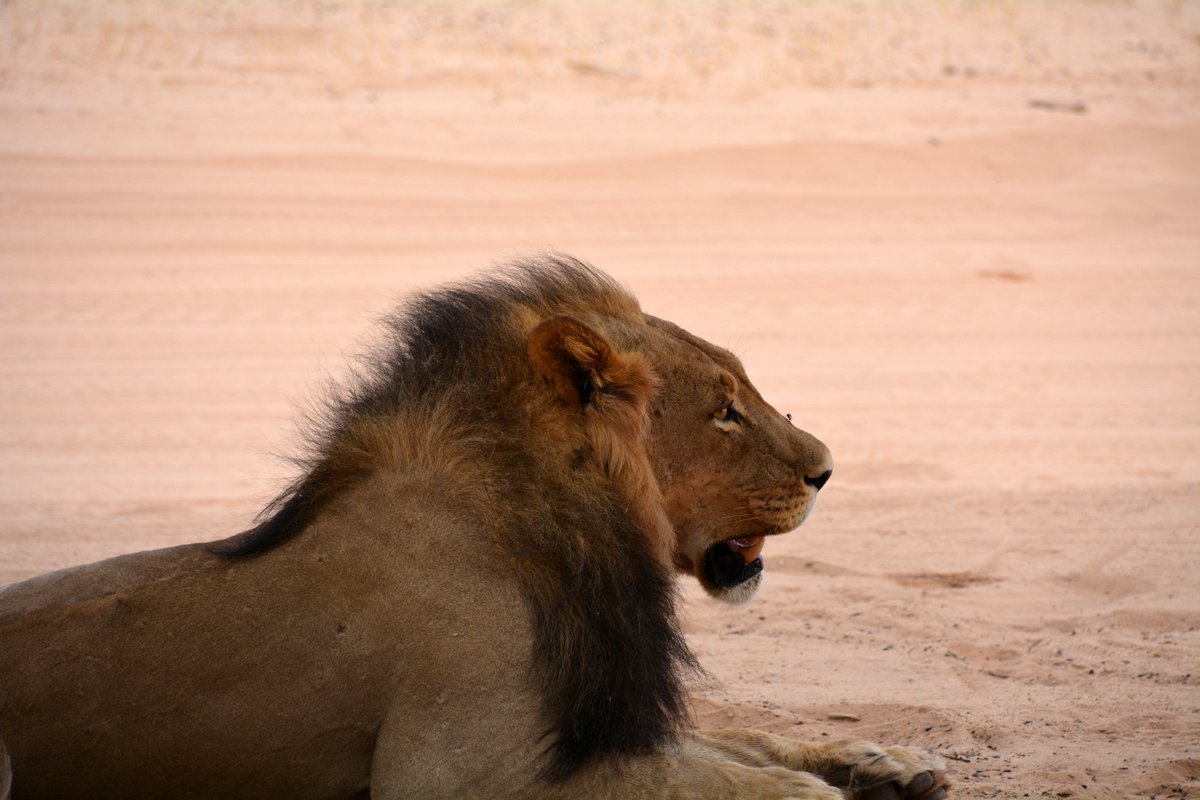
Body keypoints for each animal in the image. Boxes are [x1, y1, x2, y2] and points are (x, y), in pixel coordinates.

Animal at [0, 256, 949, 800]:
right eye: (723, 411)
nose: (828, 468)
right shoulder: (453, 774)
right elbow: (712, 779)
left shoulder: (593, 719)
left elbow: (735, 743)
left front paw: (882, 765)